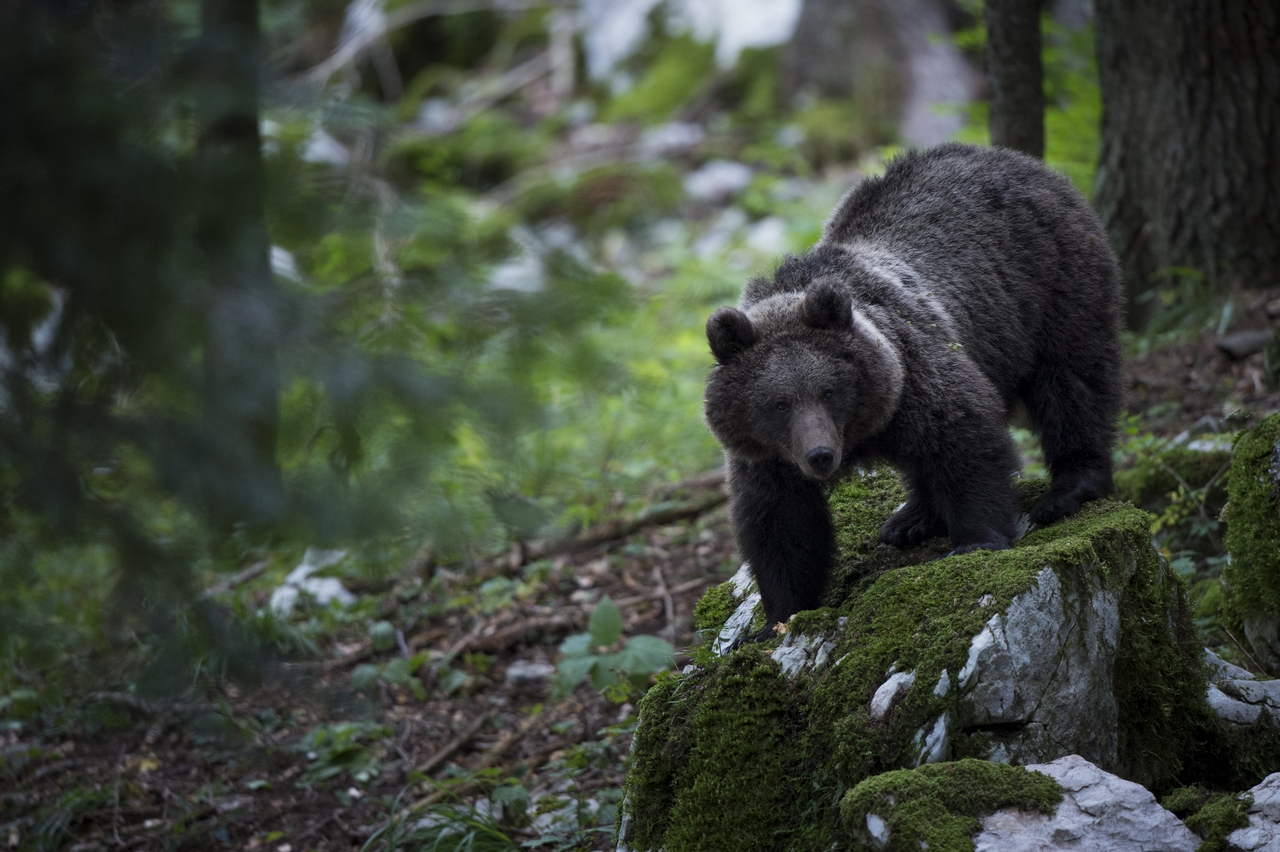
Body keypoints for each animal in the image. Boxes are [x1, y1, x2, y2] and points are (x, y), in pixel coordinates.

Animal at [703, 142, 1123, 638]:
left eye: (829, 390)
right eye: (778, 403)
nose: (820, 455)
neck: (863, 432)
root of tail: (1018, 158)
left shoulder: (914, 374)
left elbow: (963, 435)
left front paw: (976, 539)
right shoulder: (767, 456)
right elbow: (781, 522)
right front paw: (778, 617)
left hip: (1055, 284)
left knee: (1074, 381)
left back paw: (1069, 488)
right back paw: (911, 520)